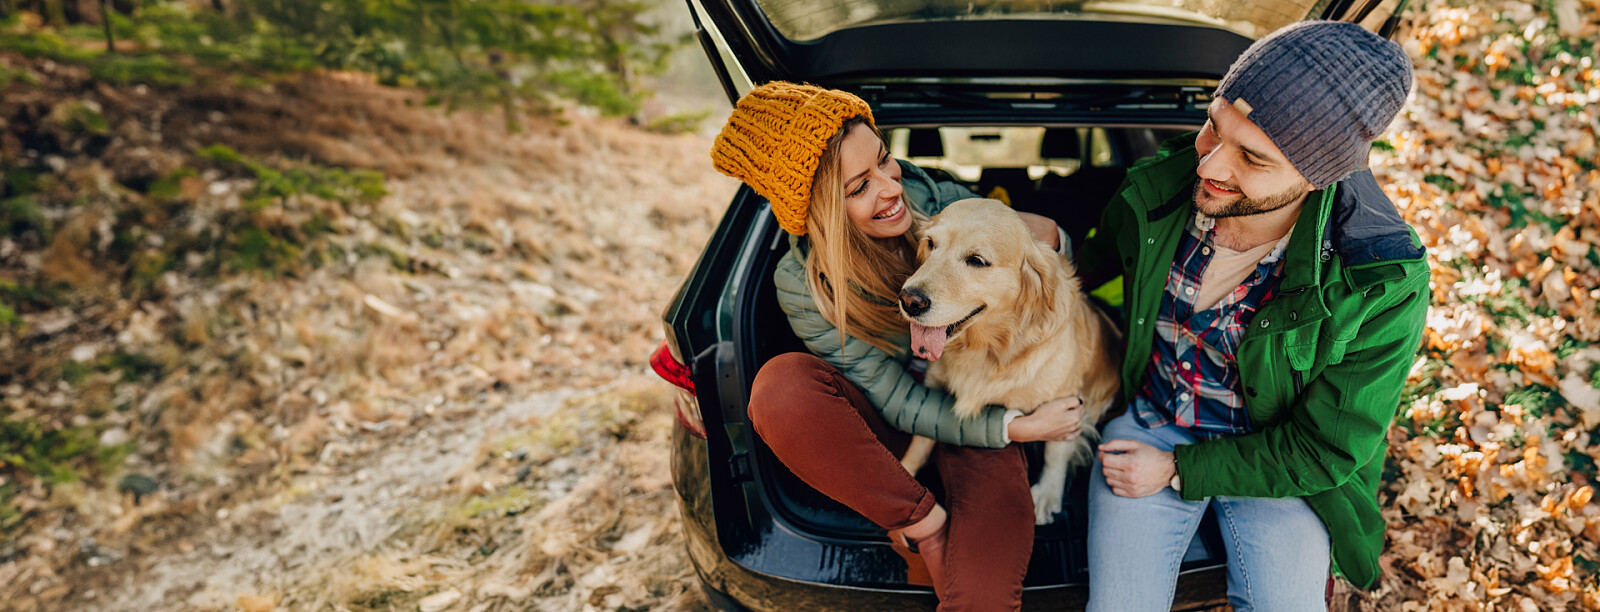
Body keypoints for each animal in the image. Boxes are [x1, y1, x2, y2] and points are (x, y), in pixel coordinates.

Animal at [902, 198, 1126, 522]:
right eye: (930, 243)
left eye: (976, 260)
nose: (909, 300)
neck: (989, 348)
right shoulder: (934, 384)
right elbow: (921, 437)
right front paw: (906, 469)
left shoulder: (1067, 400)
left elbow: (1056, 451)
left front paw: (1047, 494)